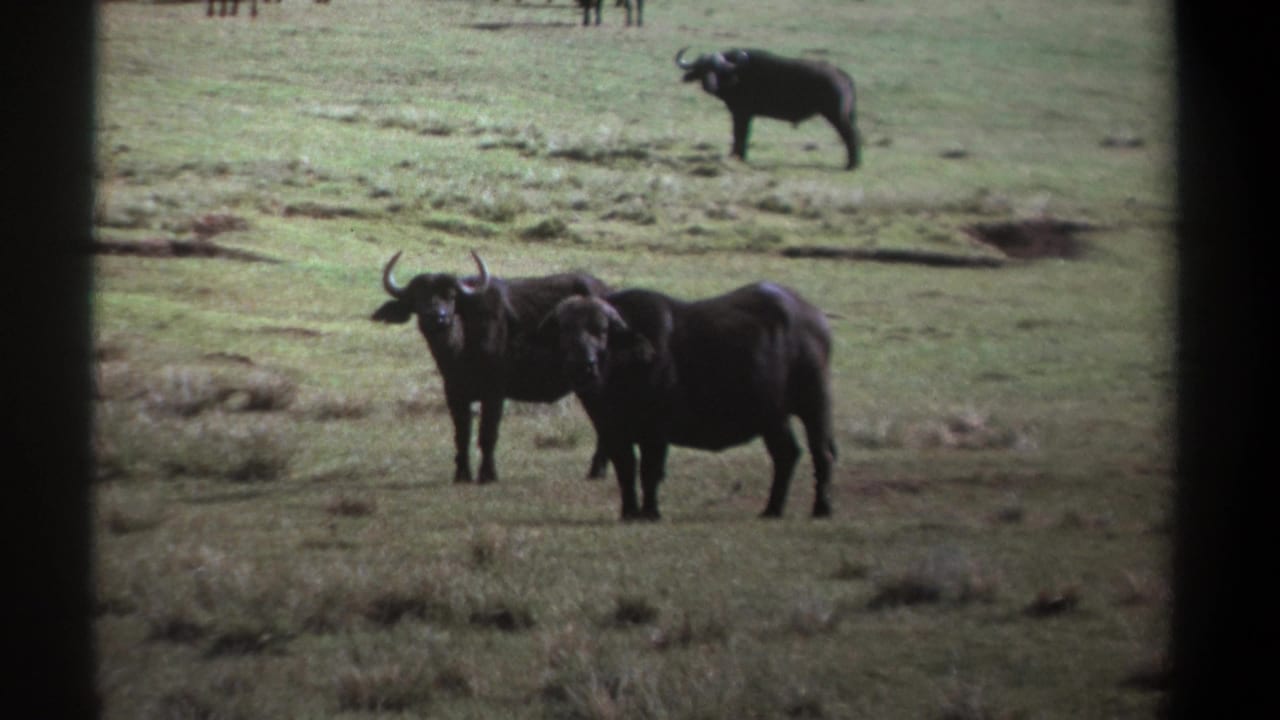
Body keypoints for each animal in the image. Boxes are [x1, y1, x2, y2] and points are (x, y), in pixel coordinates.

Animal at [372, 251, 611, 483]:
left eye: (451, 296)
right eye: (418, 297)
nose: (437, 317)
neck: (462, 346)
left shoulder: (495, 392)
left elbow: (487, 434)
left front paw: (488, 474)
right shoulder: (454, 393)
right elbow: (462, 434)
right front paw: (462, 475)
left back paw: (597, 470)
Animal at [543, 283, 836, 520]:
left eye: (602, 330)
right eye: (564, 330)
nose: (583, 365)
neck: (621, 373)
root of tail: (815, 317)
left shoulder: (656, 431)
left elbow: (650, 470)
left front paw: (650, 512)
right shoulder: (611, 431)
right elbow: (625, 470)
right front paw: (628, 512)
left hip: (814, 403)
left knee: (822, 452)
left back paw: (821, 508)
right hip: (773, 416)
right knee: (787, 453)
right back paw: (772, 509)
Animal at [675, 47, 861, 170]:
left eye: (718, 70)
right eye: (701, 69)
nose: (709, 86)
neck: (738, 74)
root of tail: (843, 76)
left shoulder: (742, 113)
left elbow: (740, 133)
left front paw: (738, 156)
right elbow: (740, 134)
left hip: (836, 115)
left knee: (850, 136)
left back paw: (852, 165)